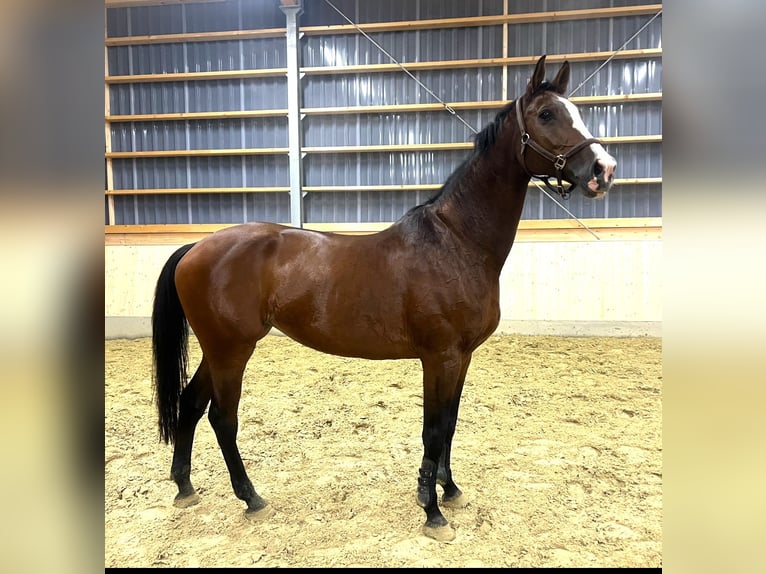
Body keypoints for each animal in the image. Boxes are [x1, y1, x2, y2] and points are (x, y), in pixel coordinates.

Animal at [150, 55, 616, 544]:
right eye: (546, 114)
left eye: (575, 110)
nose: (603, 169)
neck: (457, 242)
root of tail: (196, 247)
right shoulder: (439, 357)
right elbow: (433, 430)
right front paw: (433, 512)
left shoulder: (462, 357)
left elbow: (450, 425)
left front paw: (449, 490)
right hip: (232, 351)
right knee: (222, 418)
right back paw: (251, 498)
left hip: (218, 349)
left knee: (190, 403)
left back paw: (185, 487)